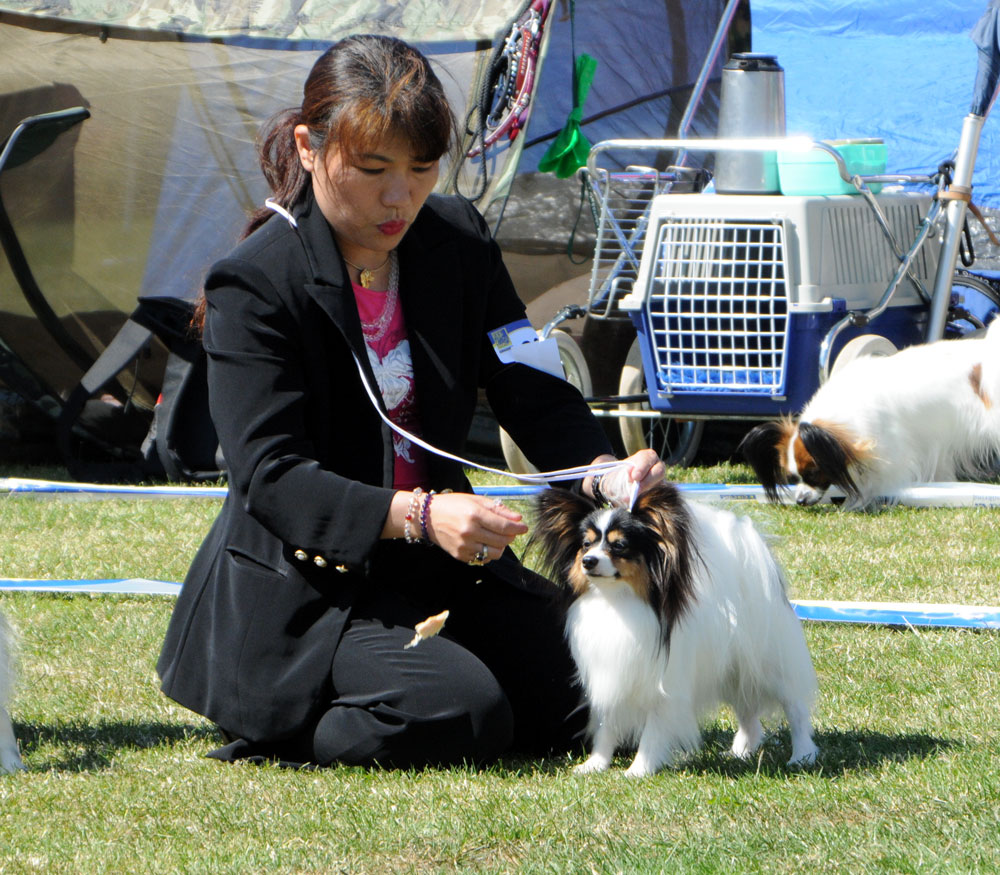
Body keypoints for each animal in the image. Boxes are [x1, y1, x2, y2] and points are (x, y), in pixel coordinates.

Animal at [536, 482, 816, 776]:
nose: (588, 561)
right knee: (748, 711)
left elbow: (653, 732)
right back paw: (741, 752)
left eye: (619, 545)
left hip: (769, 665)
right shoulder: (611, 675)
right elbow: (606, 726)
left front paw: (639, 770)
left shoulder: (664, 687)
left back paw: (803, 755)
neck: (617, 601)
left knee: (795, 707)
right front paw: (596, 764)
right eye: (585, 544)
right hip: (732, 670)